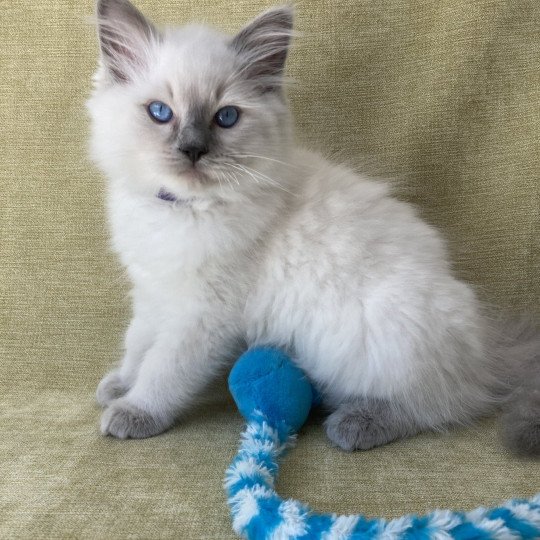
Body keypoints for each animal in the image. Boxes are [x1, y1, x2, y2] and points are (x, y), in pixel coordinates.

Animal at [86, 0, 536, 454]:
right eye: (160, 113)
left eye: (225, 117)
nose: (193, 150)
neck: (182, 210)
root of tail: (487, 347)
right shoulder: (153, 291)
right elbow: (138, 344)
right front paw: (120, 384)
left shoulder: (202, 315)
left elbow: (164, 369)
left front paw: (135, 410)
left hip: (375, 332)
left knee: (442, 404)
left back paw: (357, 423)